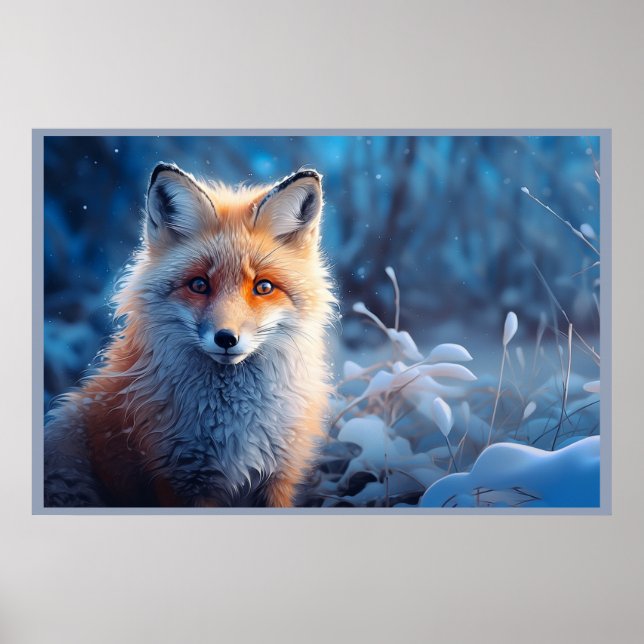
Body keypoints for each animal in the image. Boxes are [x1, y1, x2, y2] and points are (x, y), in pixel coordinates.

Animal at [44, 163, 335, 507]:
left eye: (263, 287)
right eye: (198, 285)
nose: (226, 339)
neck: (232, 428)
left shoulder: (278, 476)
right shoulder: (178, 479)